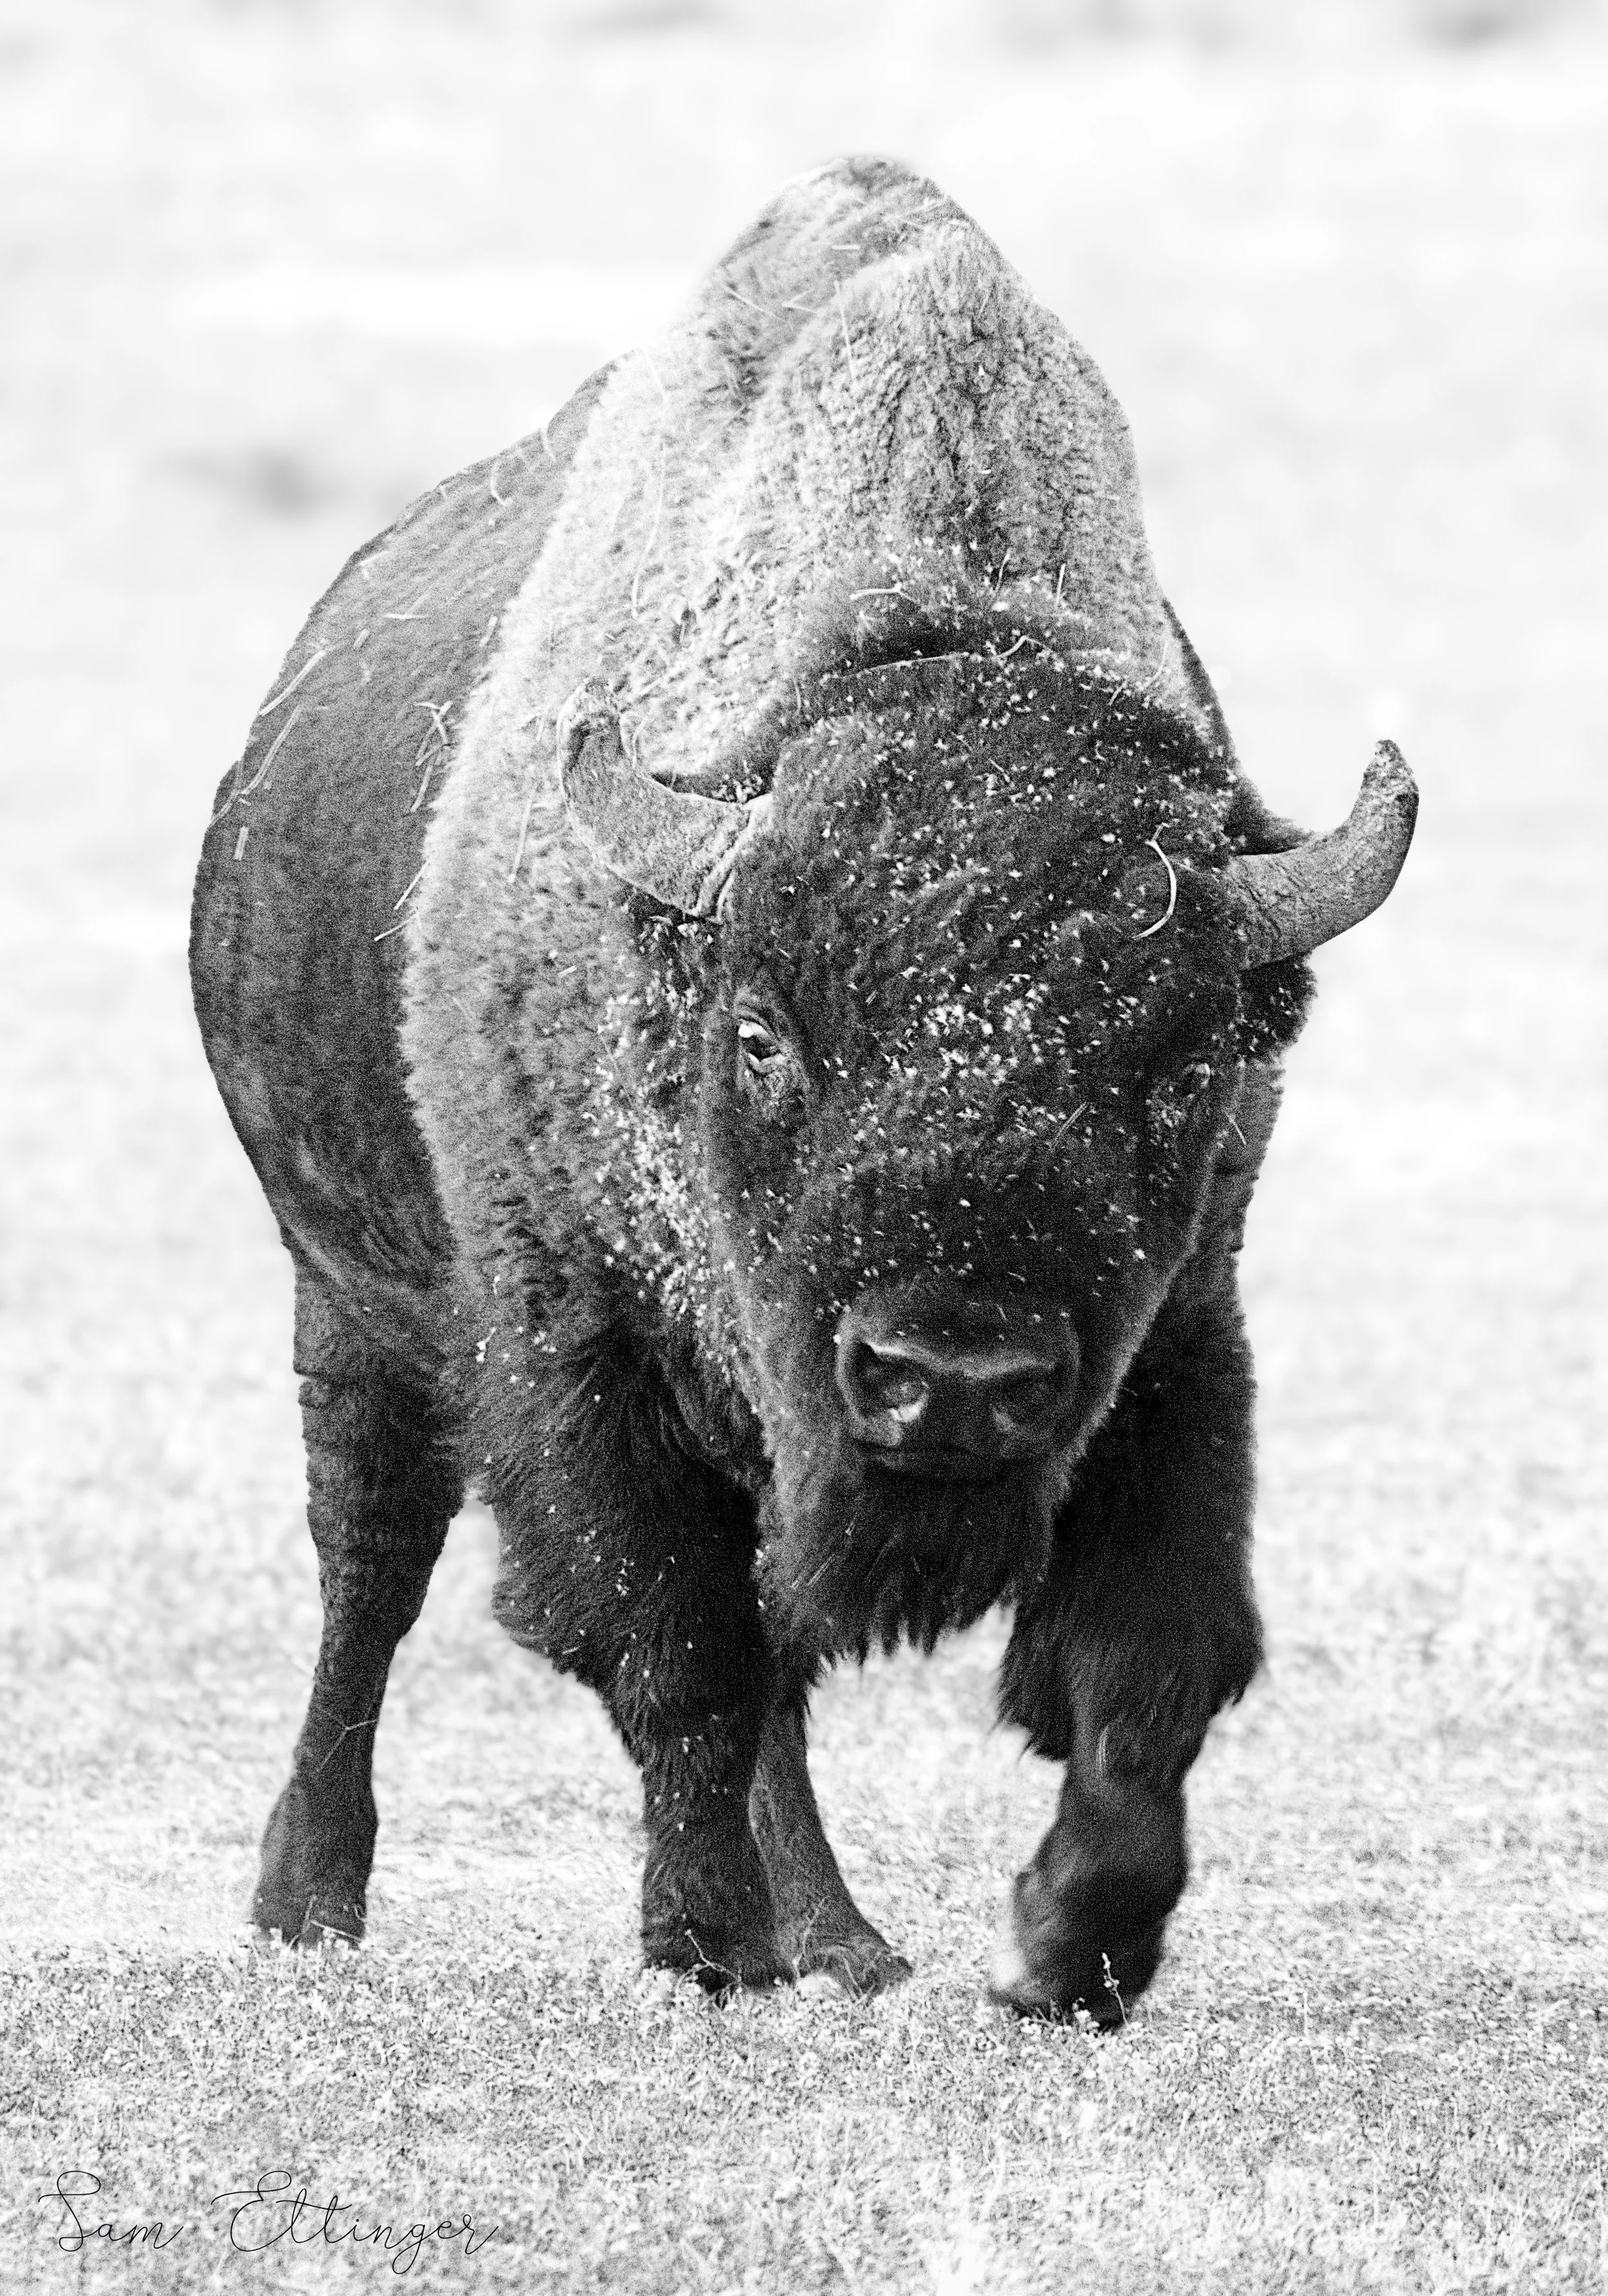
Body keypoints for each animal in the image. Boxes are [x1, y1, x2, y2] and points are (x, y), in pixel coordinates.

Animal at [191, 157, 1415, 2020]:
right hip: (347, 1301)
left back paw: (839, 1937)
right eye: (762, 1034)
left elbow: (1147, 1663)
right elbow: (672, 1648)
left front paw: (1071, 1947)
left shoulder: (1178, 1342)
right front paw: (701, 1940)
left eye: (1191, 1059)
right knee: (373, 1574)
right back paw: (310, 1896)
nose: (951, 1376)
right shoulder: (576, 1354)